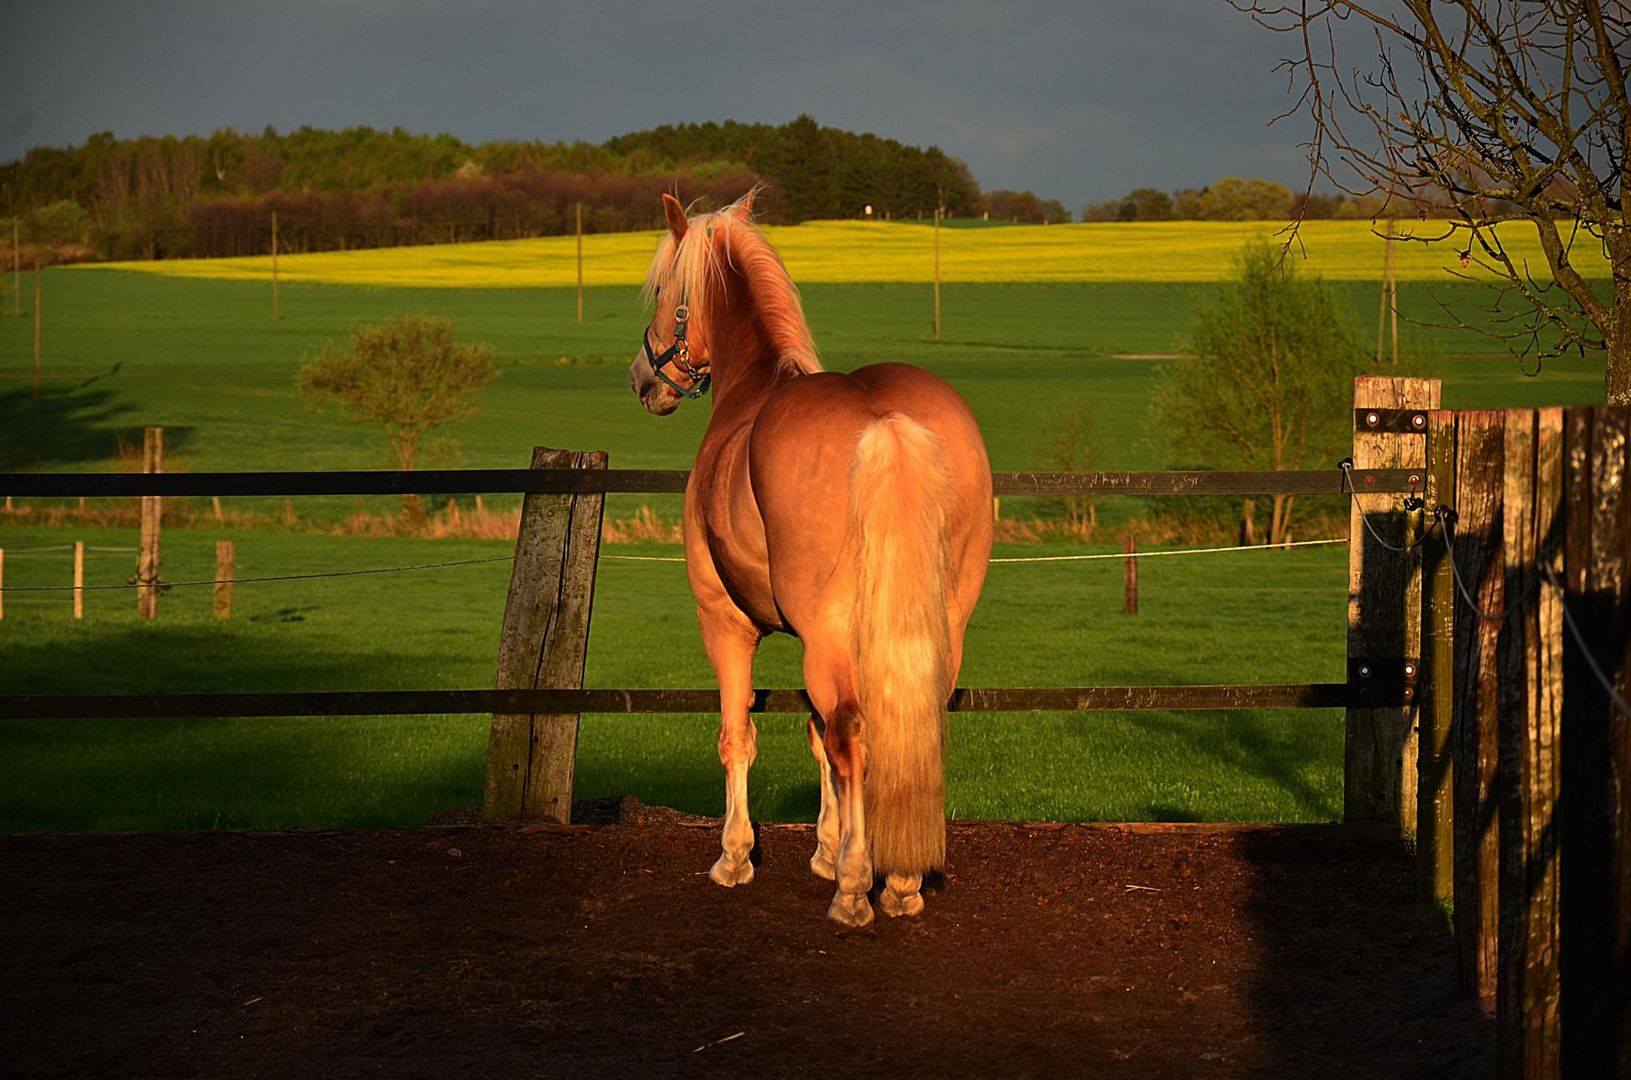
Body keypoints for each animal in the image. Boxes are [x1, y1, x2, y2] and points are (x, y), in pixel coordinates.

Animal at [626, 188, 991, 933]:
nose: (642, 378)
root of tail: (884, 422)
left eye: (663, 290)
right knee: (904, 723)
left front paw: (736, 856)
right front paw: (824, 847)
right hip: (939, 625)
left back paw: (857, 887)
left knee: (853, 731)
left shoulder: (725, 622)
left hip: (822, 630)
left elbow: (740, 735)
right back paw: (900, 878)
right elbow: (814, 734)